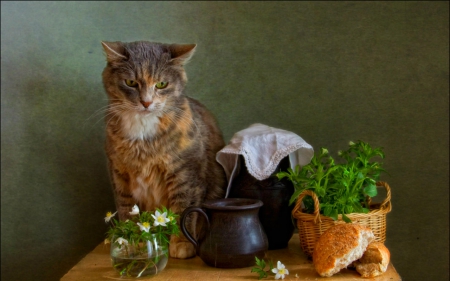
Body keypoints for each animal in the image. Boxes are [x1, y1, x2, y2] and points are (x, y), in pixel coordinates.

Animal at [102, 40, 229, 258]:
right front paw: (130, 241)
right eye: (131, 82)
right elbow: (126, 210)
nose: (146, 102)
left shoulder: (185, 174)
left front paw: (182, 243)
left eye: (161, 84)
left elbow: (183, 211)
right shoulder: (118, 174)